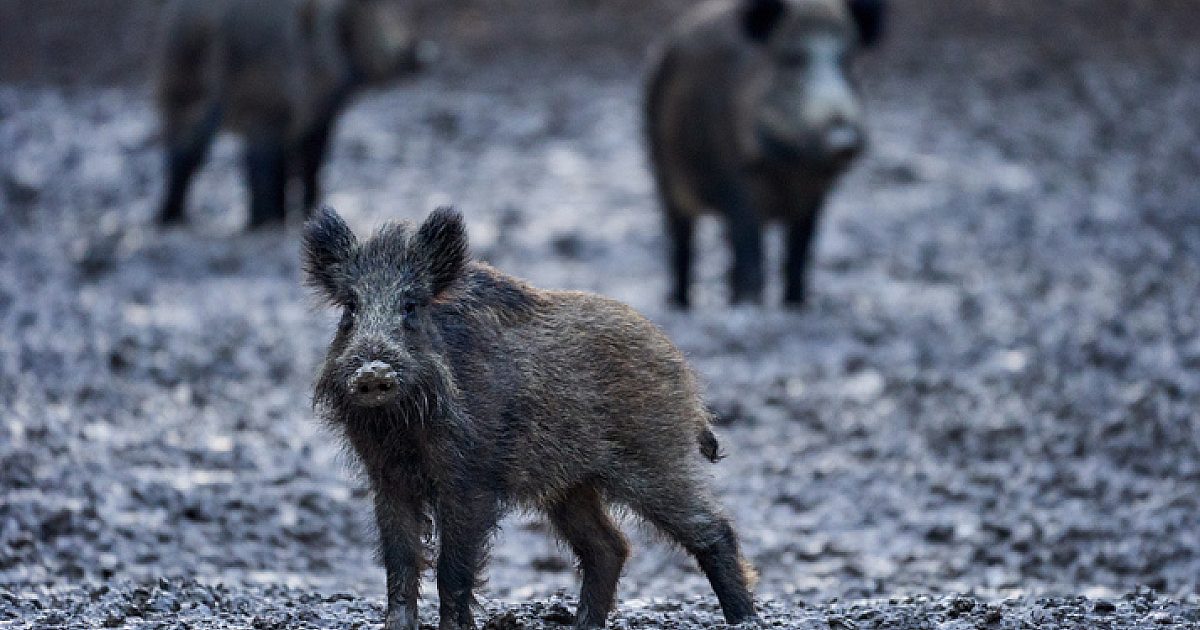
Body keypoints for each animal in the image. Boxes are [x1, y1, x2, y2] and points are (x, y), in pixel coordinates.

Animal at [157, 0, 424, 229]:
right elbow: (298, 163)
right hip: (249, 96)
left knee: (184, 152)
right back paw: (257, 222)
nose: (418, 56)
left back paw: (172, 217)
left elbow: (292, 166)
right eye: (372, 11)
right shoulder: (308, 112)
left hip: (180, 87)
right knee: (246, 160)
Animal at [304, 206, 757, 629]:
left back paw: (744, 618)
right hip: (572, 486)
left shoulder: (470, 479)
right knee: (609, 547)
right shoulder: (387, 478)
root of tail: (684, 373)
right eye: (350, 308)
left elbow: (453, 567)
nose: (372, 370)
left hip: (658, 458)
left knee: (713, 530)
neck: (401, 429)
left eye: (411, 306)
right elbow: (400, 562)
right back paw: (584, 624)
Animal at [645, 0, 884, 307]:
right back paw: (682, 302)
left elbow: (799, 253)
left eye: (847, 60)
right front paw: (751, 302)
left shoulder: (815, 197)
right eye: (793, 58)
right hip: (662, 173)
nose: (843, 140)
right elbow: (751, 249)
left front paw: (796, 304)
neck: (790, 167)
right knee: (682, 242)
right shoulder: (734, 181)